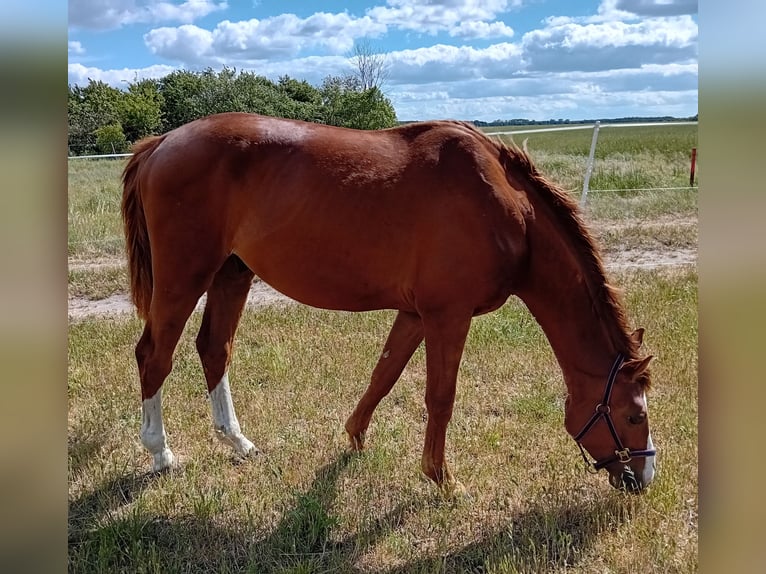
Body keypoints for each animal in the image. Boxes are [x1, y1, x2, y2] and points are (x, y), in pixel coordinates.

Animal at [121, 112, 656, 495]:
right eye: (634, 416)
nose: (643, 478)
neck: (507, 209)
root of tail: (160, 144)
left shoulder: (415, 314)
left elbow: (384, 374)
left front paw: (355, 438)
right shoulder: (447, 317)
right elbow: (440, 397)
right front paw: (443, 479)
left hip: (232, 274)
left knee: (214, 348)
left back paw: (238, 442)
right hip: (183, 279)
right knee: (154, 356)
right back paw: (160, 453)